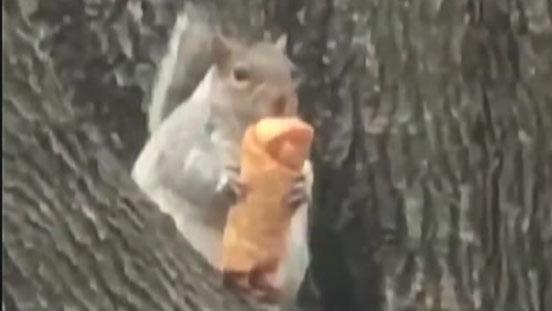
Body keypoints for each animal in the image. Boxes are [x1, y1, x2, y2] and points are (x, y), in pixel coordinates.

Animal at [129, 4, 310, 310]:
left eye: (293, 72)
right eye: (240, 74)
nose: (283, 101)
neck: (243, 134)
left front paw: (301, 190)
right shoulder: (184, 137)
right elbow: (183, 170)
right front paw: (226, 183)